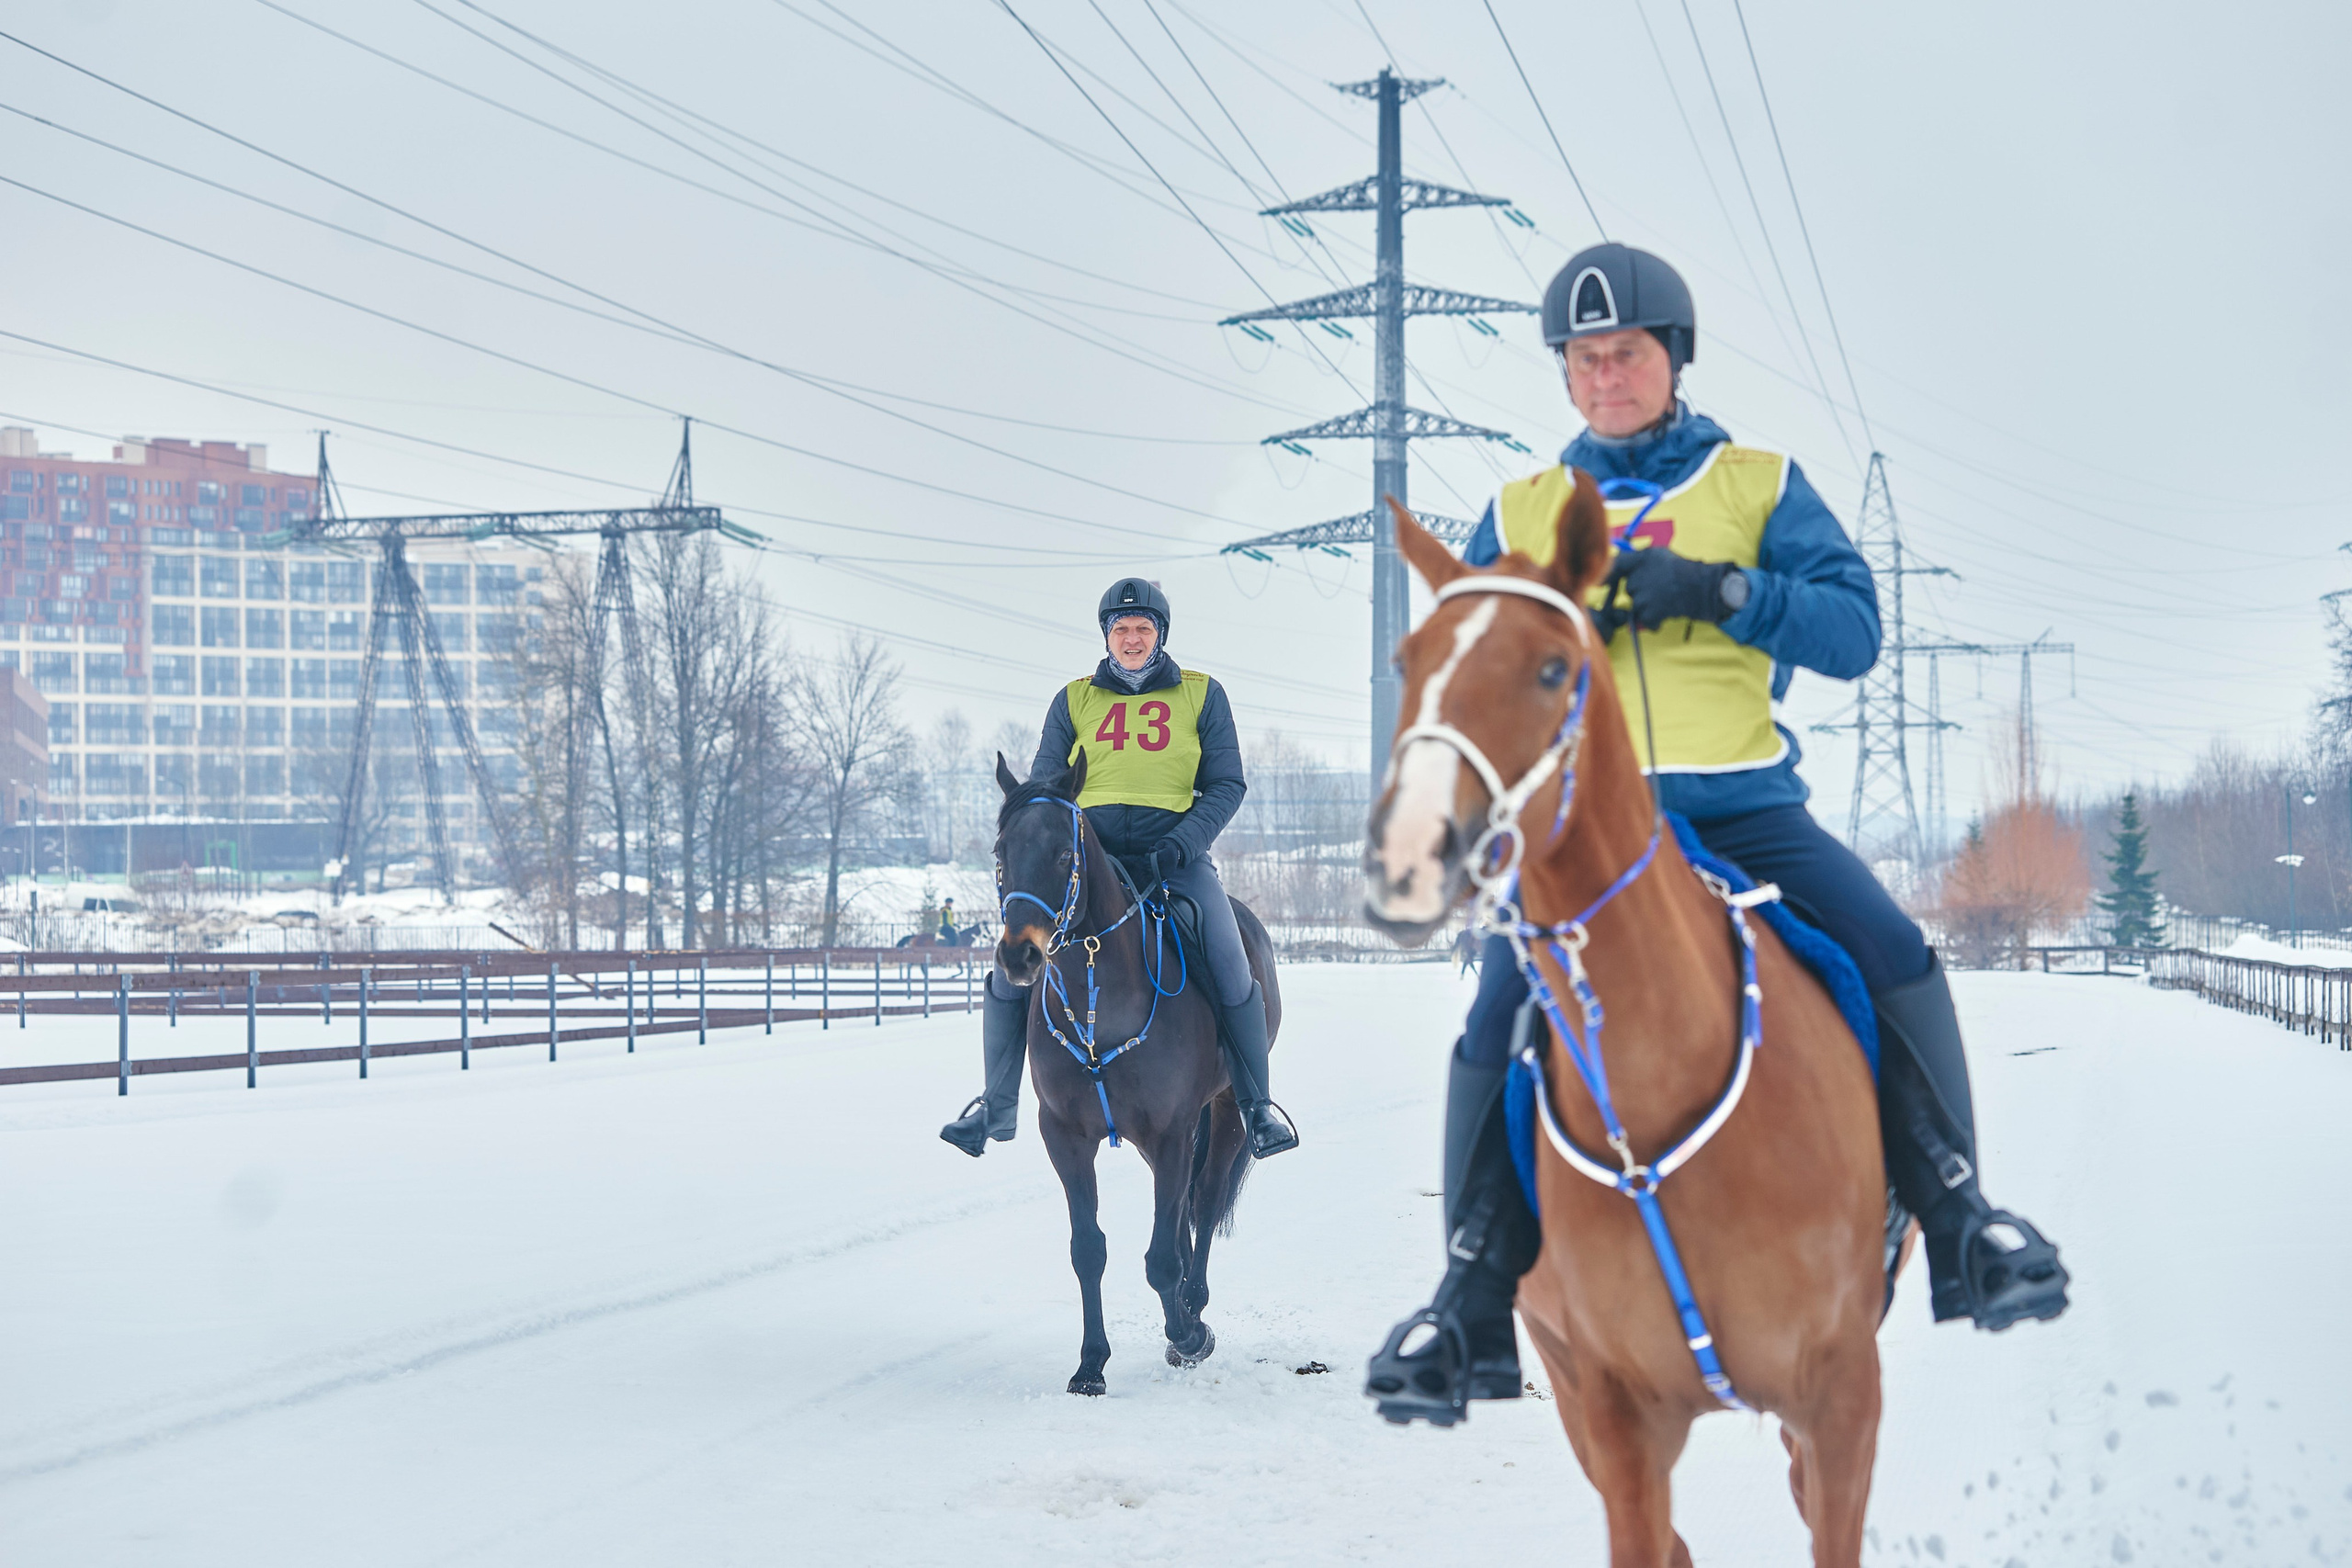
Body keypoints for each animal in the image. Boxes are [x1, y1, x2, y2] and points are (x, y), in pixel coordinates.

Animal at [993, 749, 1279, 1396]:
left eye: (1064, 853)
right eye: (1001, 851)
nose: (1019, 955)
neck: (1101, 994)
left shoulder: (1173, 1130)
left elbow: (1162, 1257)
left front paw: (1189, 1336)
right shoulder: (1065, 1136)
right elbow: (1089, 1250)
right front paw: (1091, 1365)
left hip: (1225, 1113)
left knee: (1203, 1202)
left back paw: (1193, 1309)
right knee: (1179, 1215)